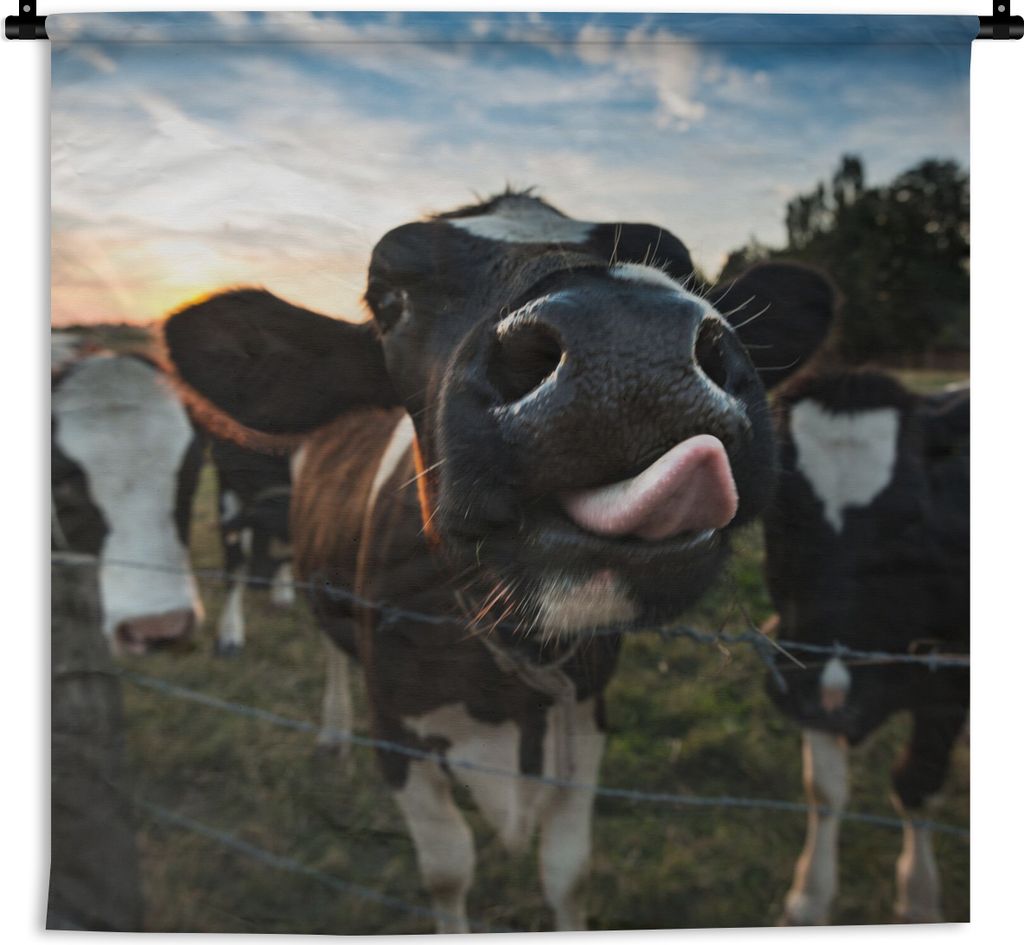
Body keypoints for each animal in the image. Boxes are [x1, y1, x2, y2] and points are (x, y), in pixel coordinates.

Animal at [762, 370, 969, 926]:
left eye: (911, 519)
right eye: (778, 516)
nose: (832, 689)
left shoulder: (949, 681)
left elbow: (917, 782)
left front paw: (918, 897)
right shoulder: (803, 675)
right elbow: (823, 788)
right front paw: (810, 896)